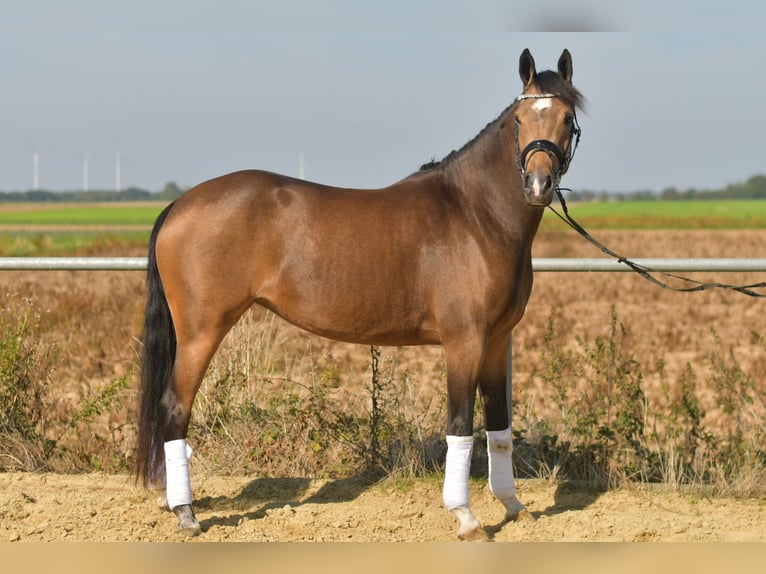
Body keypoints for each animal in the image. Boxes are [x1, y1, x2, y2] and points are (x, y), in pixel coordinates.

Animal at [136, 48, 584, 541]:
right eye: (520, 119)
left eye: (567, 118)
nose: (538, 185)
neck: (475, 215)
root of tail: (180, 204)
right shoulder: (464, 342)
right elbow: (461, 427)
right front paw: (466, 517)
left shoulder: (498, 342)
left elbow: (499, 428)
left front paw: (513, 506)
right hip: (201, 332)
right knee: (175, 407)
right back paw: (186, 513)